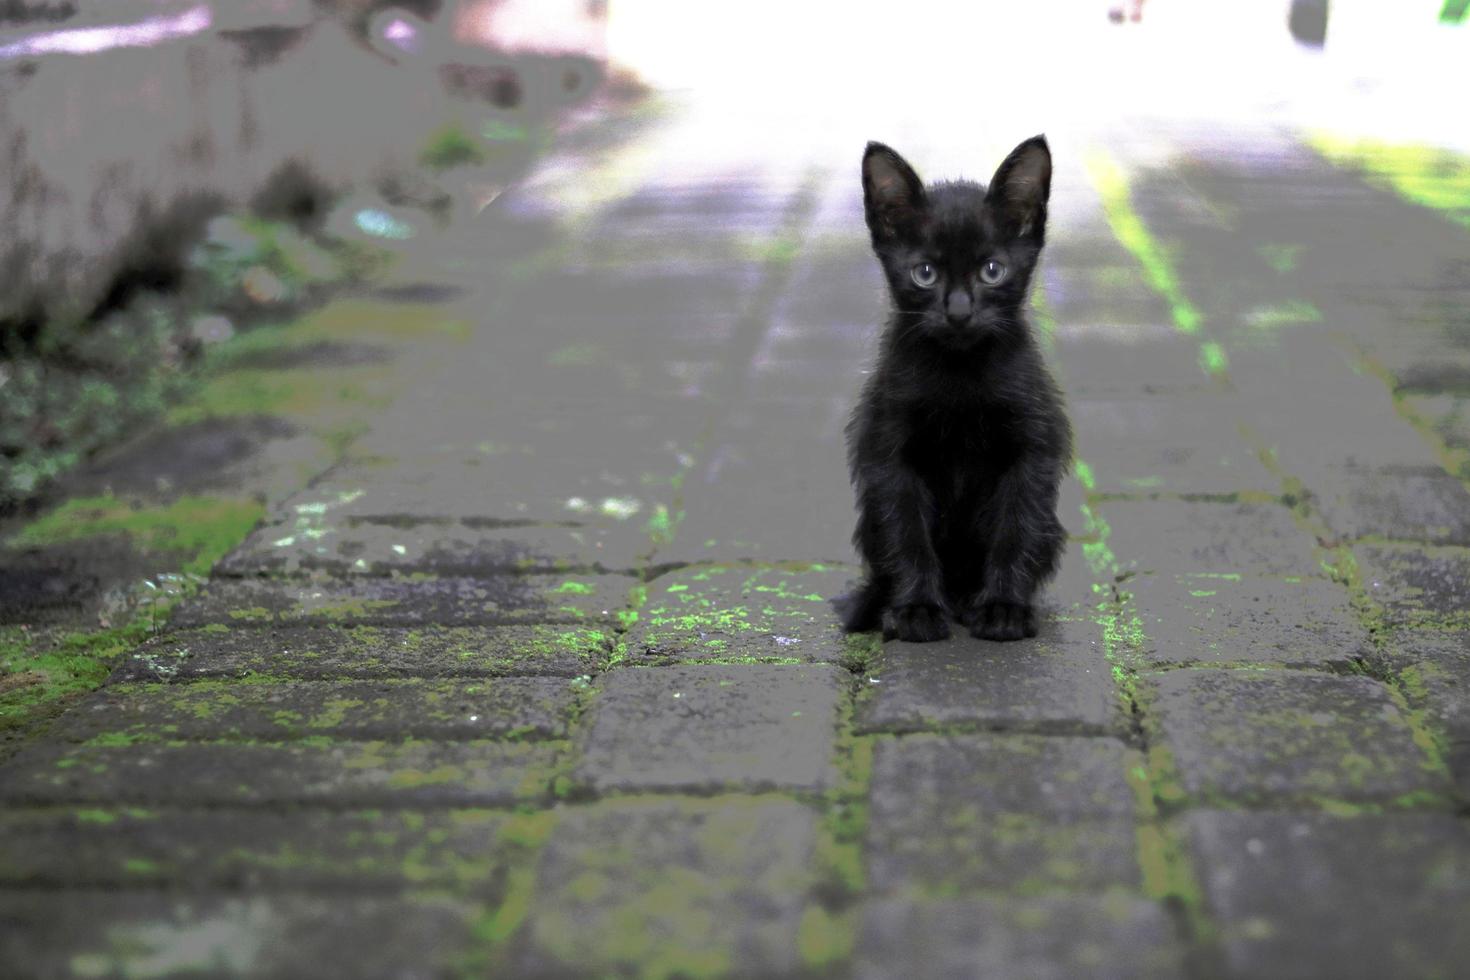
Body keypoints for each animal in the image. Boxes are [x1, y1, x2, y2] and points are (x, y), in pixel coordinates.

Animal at [846, 135, 1076, 643]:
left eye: (992, 270)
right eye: (925, 273)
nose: (958, 312)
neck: (960, 375)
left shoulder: (1032, 447)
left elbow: (1016, 528)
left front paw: (1003, 608)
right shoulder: (889, 452)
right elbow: (906, 532)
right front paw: (916, 609)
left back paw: (974, 601)